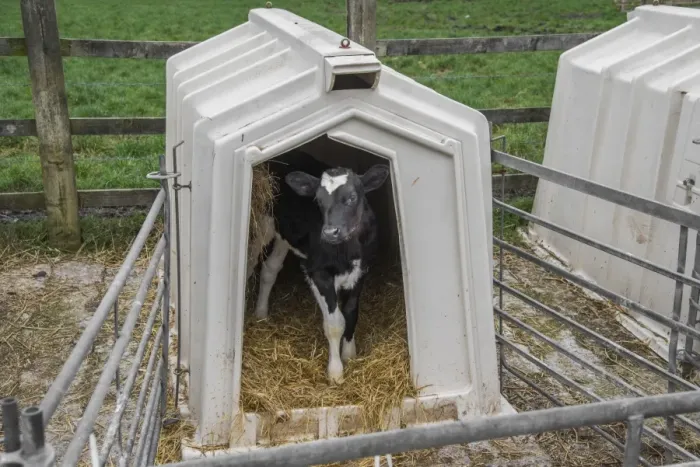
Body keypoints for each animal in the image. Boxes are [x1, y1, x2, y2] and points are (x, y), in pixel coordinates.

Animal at [252, 156, 390, 384]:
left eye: (352, 197)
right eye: (318, 200)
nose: (330, 231)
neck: (346, 251)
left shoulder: (361, 270)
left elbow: (351, 313)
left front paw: (349, 354)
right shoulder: (317, 272)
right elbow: (335, 323)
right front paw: (336, 372)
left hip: (285, 235)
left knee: (270, 269)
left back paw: (261, 313)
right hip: (264, 222)